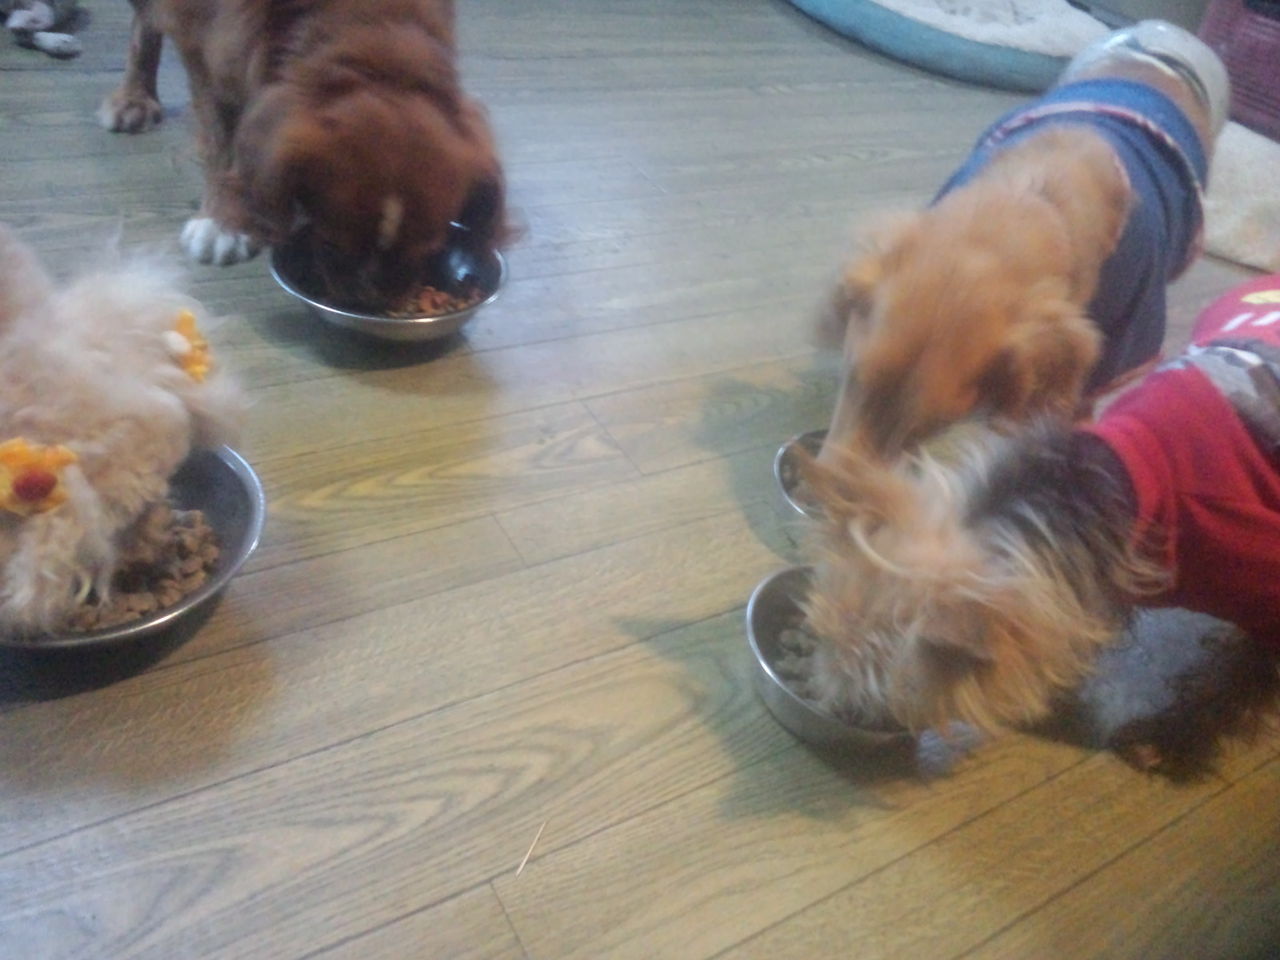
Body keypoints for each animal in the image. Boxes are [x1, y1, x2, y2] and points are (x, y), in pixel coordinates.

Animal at [100, 0, 509, 306]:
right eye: (332, 240)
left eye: (428, 246)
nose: (375, 296)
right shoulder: (206, 40)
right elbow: (221, 139)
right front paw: (223, 221)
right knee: (143, 24)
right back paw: (133, 96)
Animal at [820, 21, 1229, 460]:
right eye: (854, 375)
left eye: (936, 423)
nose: (820, 481)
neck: (1032, 196)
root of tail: (1161, 34)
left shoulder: (1125, 335)